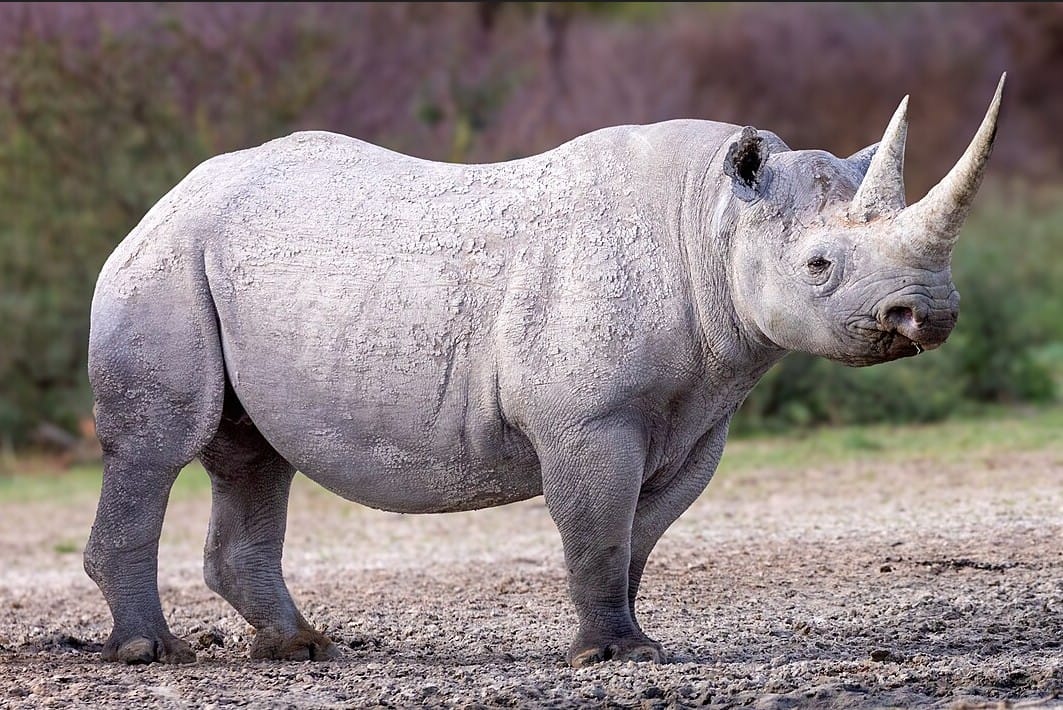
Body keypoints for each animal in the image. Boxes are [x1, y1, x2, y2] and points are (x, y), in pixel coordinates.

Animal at [85, 76, 1005, 666]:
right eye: (817, 266)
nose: (927, 315)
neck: (712, 224)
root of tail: (164, 199)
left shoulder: (699, 417)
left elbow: (639, 533)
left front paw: (632, 641)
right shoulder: (587, 418)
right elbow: (596, 526)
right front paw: (612, 658)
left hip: (221, 265)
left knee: (252, 453)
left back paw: (300, 649)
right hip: (162, 262)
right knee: (161, 446)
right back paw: (151, 653)